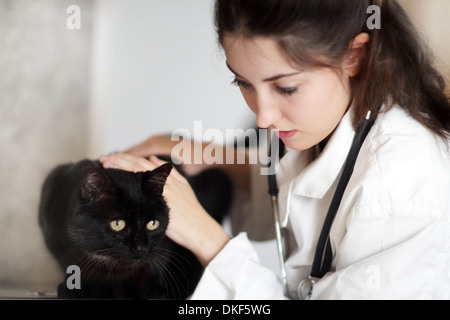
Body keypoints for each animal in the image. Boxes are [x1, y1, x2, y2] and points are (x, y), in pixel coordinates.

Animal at [38, 159, 232, 298]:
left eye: (152, 223)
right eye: (118, 224)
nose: (141, 248)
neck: (112, 265)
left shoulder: (160, 251)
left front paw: (145, 292)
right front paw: (80, 289)